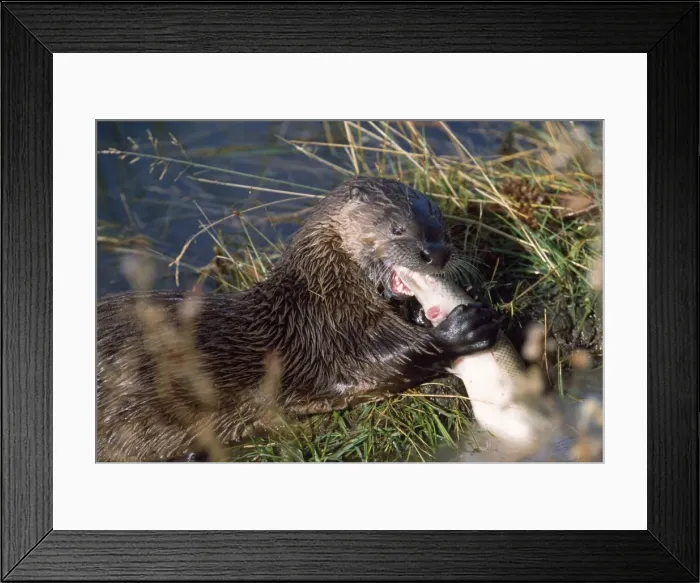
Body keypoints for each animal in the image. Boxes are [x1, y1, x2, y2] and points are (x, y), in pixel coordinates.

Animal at [97, 176, 499, 461]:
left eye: (442, 228)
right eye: (397, 228)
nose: (437, 253)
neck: (322, 291)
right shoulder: (332, 334)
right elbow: (382, 361)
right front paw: (461, 329)